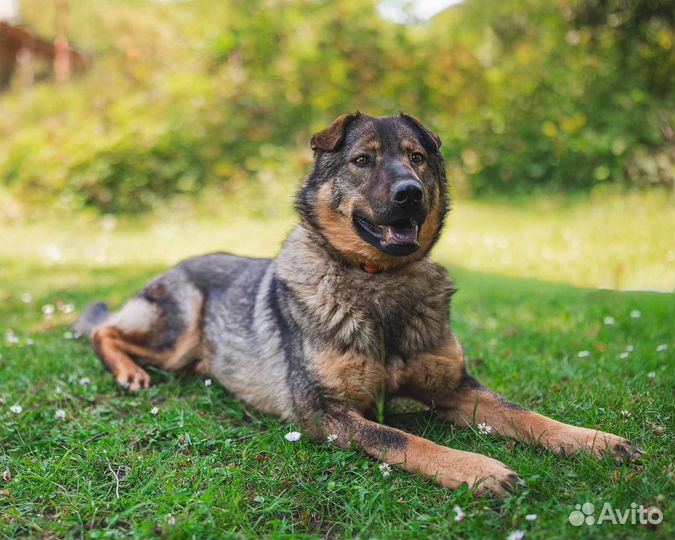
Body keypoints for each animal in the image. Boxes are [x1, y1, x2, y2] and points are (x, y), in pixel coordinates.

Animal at [75, 112, 644, 496]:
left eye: (417, 157)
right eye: (362, 160)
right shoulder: (325, 412)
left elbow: (526, 415)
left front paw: (593, 440)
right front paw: (479, 468)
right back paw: (130, 373)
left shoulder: (456, 386)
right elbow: (404, 440)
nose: (410, 192)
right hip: (177, 329)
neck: (378, 282)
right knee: (104, 330)